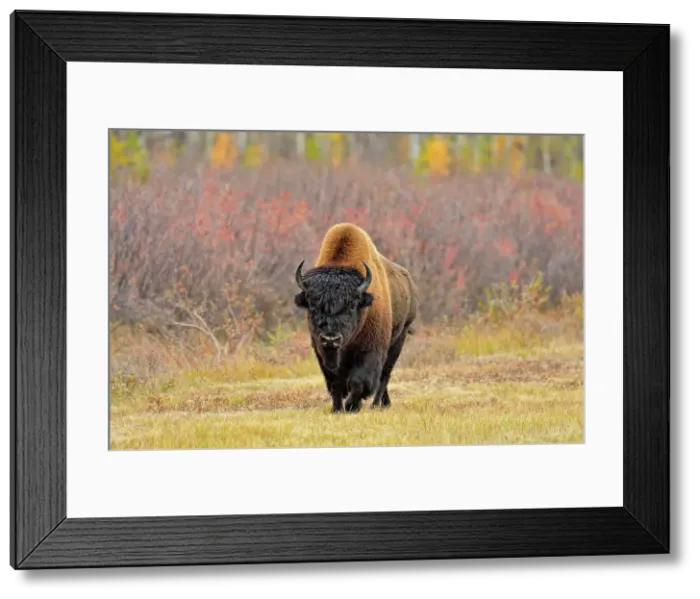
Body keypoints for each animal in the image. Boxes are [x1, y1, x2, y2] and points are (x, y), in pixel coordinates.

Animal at [294, 222, 418, 413]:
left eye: (352, 305)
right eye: (312, 305)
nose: (331, 339)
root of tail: (409, 282)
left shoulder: (370, 350)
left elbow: (359, 382)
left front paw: (351, 406)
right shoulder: (323, 353)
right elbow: (335, 383)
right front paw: (337, 409)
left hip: (399, 338)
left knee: (384, 376)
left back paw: (375, 405)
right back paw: (384, 404)